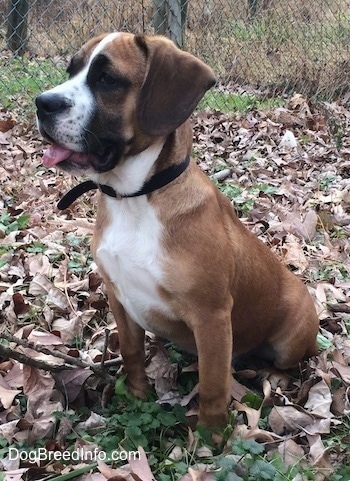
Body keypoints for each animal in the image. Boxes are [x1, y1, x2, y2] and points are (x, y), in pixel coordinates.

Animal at [36, 31, 320, 428]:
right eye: (71, 70)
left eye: (107, 79)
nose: (42, 103)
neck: (135, 197)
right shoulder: (120, 297)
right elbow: (132, 355)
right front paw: (137, 399)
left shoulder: (211, 317)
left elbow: (213, 390)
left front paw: (210, 440)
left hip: (290, 339)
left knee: (290, 362)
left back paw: (273, 377)